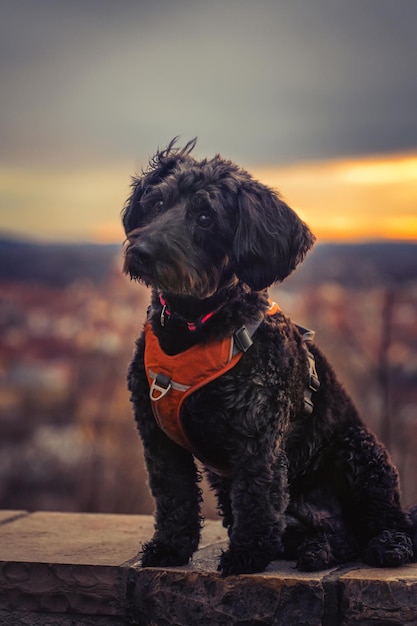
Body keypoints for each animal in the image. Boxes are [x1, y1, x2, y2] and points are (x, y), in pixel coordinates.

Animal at [120, 139, 412, 572]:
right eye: (157, 203)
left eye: (205, 218)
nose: (141, 251)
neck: (192, 326)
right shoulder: (158, 438)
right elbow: (174, 497)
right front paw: (170, 548)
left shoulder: (257, 436)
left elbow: (257, 497)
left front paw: (247, 555)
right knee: (338, 537)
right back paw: (318, 549)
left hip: (361, 451)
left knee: (390, 524)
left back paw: (388, 545)